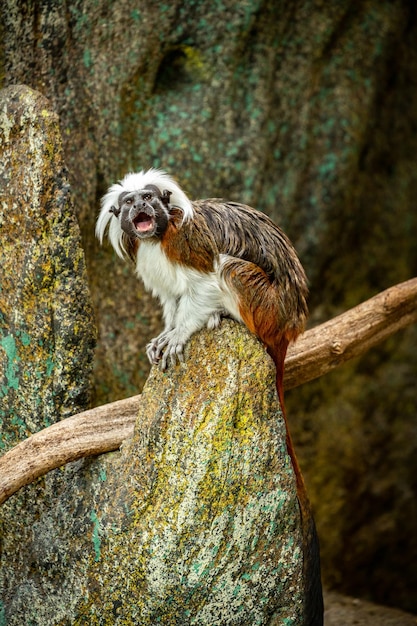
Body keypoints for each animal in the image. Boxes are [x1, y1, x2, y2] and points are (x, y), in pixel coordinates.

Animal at [96, 167, 322, 624]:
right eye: (129, 203)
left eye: (150, 198)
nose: (141, 206)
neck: (157, 237)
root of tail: (290, 327)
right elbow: (173, 298)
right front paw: (167, 331)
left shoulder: (188, 243)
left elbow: (203, 284)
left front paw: (181, 332)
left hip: (266, 307)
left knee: (232, 270)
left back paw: (223, 317)